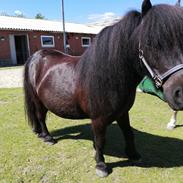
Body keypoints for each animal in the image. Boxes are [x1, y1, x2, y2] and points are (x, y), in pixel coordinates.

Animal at [24, 0, 183, 177]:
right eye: (151, 43)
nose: (180, 93)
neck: (110, 77)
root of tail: (36, 56)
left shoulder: (123, 113)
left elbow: (128, 133)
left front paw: (133, 154)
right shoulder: (98, 119)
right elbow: (100, 140)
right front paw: (101, 165)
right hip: (38, 101)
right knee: (41, 117)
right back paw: (47, 137)